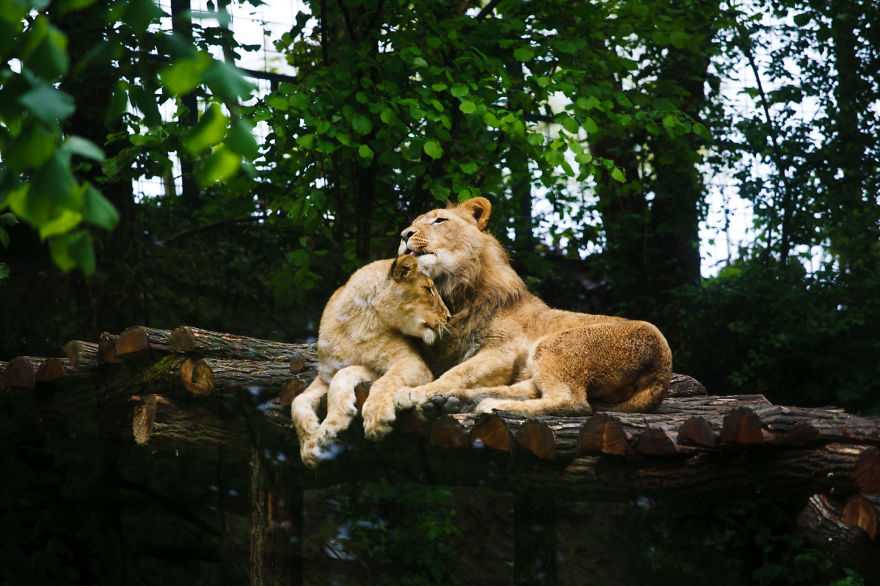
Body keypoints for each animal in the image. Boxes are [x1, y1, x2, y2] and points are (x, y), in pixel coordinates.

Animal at [291, 255, 450, 467]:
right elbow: (298, 400)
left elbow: (383, 381)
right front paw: (310, 442)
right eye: (428, 289)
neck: (358, 324)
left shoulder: (411, 362)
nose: (448, 317)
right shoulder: (326, 375)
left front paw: (375, 417)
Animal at [394, 197, 672, 416]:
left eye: (439, 220)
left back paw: (488, 405)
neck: (454, 291)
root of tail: (662, 367)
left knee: (573, 403)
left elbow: (458, 372)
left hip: (553, 345)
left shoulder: (503, 350)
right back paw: (454, 401)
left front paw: (417, 392)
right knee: (527, 391)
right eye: (414, 223)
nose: (404, 234)